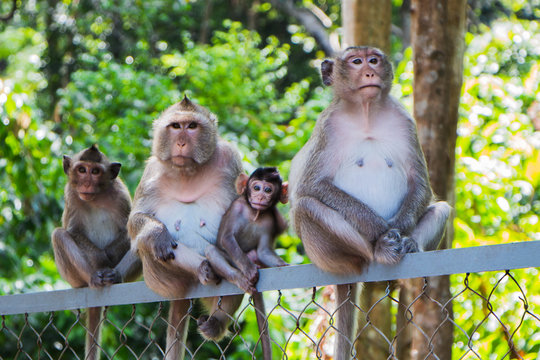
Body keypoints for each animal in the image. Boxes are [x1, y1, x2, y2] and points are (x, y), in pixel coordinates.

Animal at [51, 144, 141, 360]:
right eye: (82, 170)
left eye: (95, 172)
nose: (86, 183)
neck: (96, 198)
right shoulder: (71, 194)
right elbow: (73, 231)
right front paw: (100, 259)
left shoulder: (120, 193)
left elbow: (130, 229)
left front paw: (108, 260)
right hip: (75, 280)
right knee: (59, 235)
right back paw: (95, 278)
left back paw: (114, 276)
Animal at [127, 96, 244, 360]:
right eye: (175, 126)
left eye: (191, 126)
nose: (181, 142)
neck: (187, 171)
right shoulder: (151, 172)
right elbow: (136, 218)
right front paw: (158, 234)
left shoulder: (231, 158)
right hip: (161, 281)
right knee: (148, 244)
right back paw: (200, 267)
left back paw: (218, 320)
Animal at [206, 167, 288, 360]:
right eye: (256, 187)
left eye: (268, 190)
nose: (260, 197)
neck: (254, 213)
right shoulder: (237, 207)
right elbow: (227, 238)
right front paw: (249, 271)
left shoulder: (269, 219)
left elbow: (264, 251)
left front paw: (282, 265)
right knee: (212, 251)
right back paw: (241, 278)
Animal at [288, 45, 450, 360]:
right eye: (356, 61)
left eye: (373, 59)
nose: (369, 72)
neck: (366, 115)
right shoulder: (327, 126)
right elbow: (312, 185)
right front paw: (380, 229)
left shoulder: (405, 121)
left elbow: (420, 183)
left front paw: (400, 229)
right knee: (306, 207)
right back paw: (379, 249)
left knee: (442, 208)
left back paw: (411, 244)